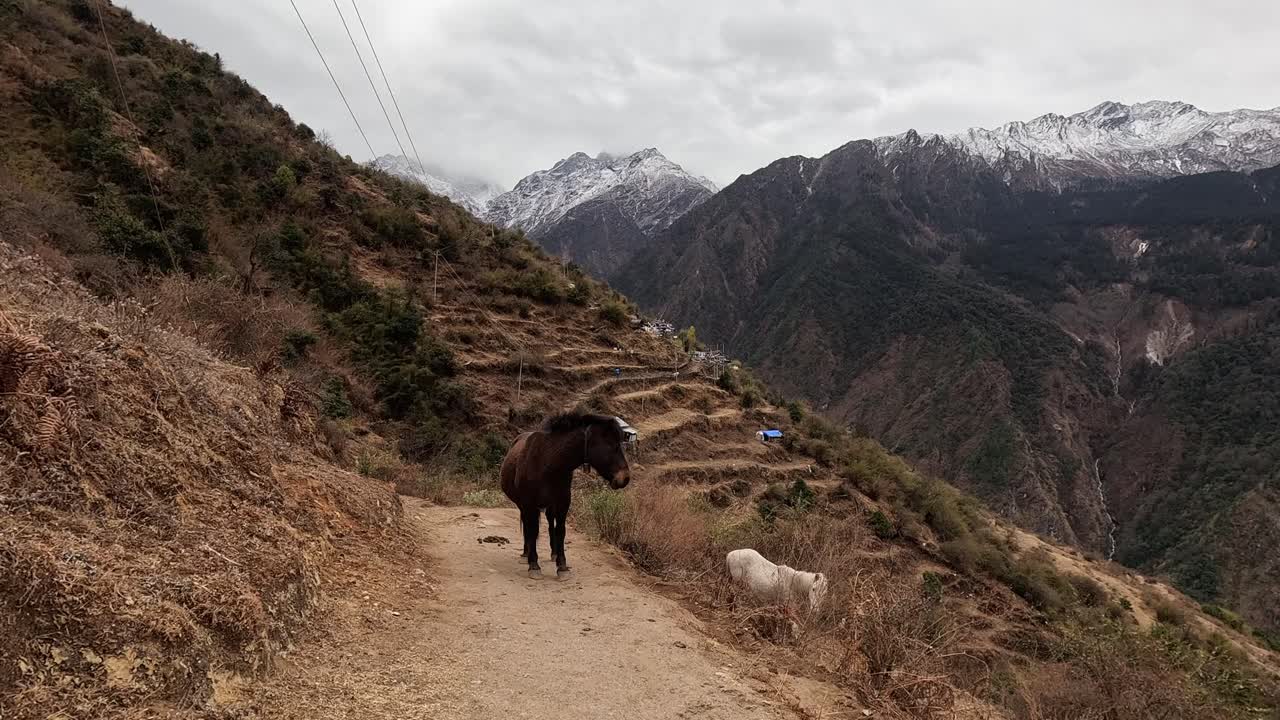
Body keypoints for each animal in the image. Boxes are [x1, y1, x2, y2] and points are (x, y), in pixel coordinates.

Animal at [500, 412, 631, 578]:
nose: (625, 478)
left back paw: (553, 553)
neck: (547, 463)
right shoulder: (529, 505)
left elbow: (560, 531)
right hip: (524, 506)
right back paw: (526, 554)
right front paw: (534, 565)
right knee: (528, 526)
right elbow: (532, 530)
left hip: (549, 506)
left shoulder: (562, 502)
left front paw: (562, 566)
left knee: (550, 524)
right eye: (611, 445)